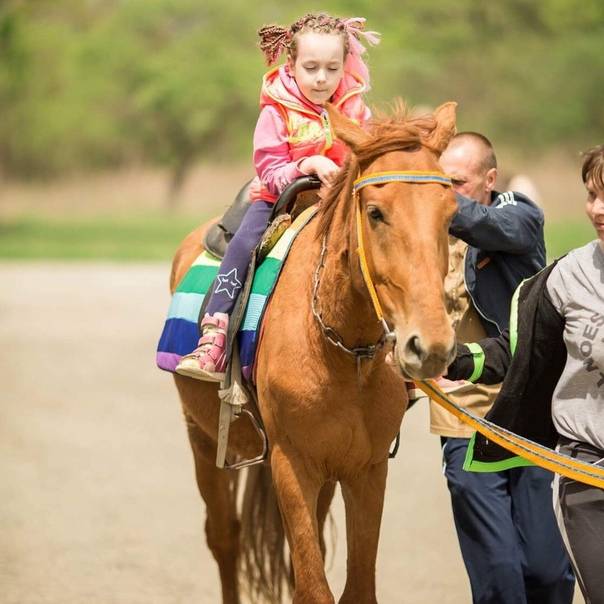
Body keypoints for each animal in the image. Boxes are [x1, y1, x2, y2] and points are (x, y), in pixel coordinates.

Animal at [170, 101, 458, 600]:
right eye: (376, 212)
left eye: (449, 213)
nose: (431, 345)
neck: (342, 350)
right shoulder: (293, 465)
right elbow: (312, 586)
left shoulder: (366, 469)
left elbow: (355, 587)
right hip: (203, 439)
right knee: (225, 537)